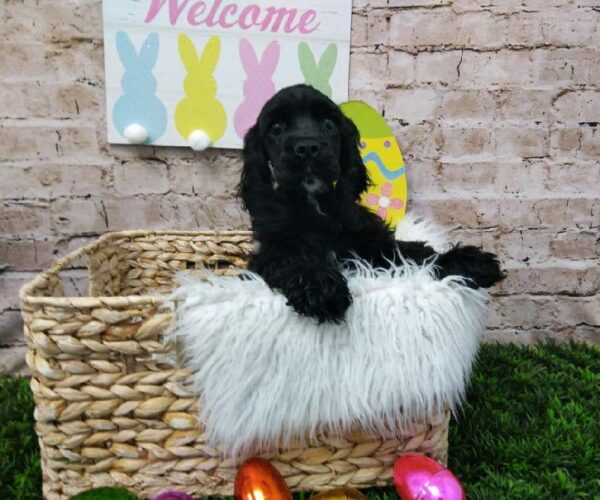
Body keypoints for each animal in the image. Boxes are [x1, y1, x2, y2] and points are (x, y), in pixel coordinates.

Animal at [237, 84, 504, 322]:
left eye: (329, 124)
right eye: (276, 128)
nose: (307, 148)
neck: (316, 204)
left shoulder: (369, 243)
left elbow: (412, 252)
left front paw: (469, 261)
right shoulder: (271, 253)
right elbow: (293, 261)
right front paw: (323, 290)